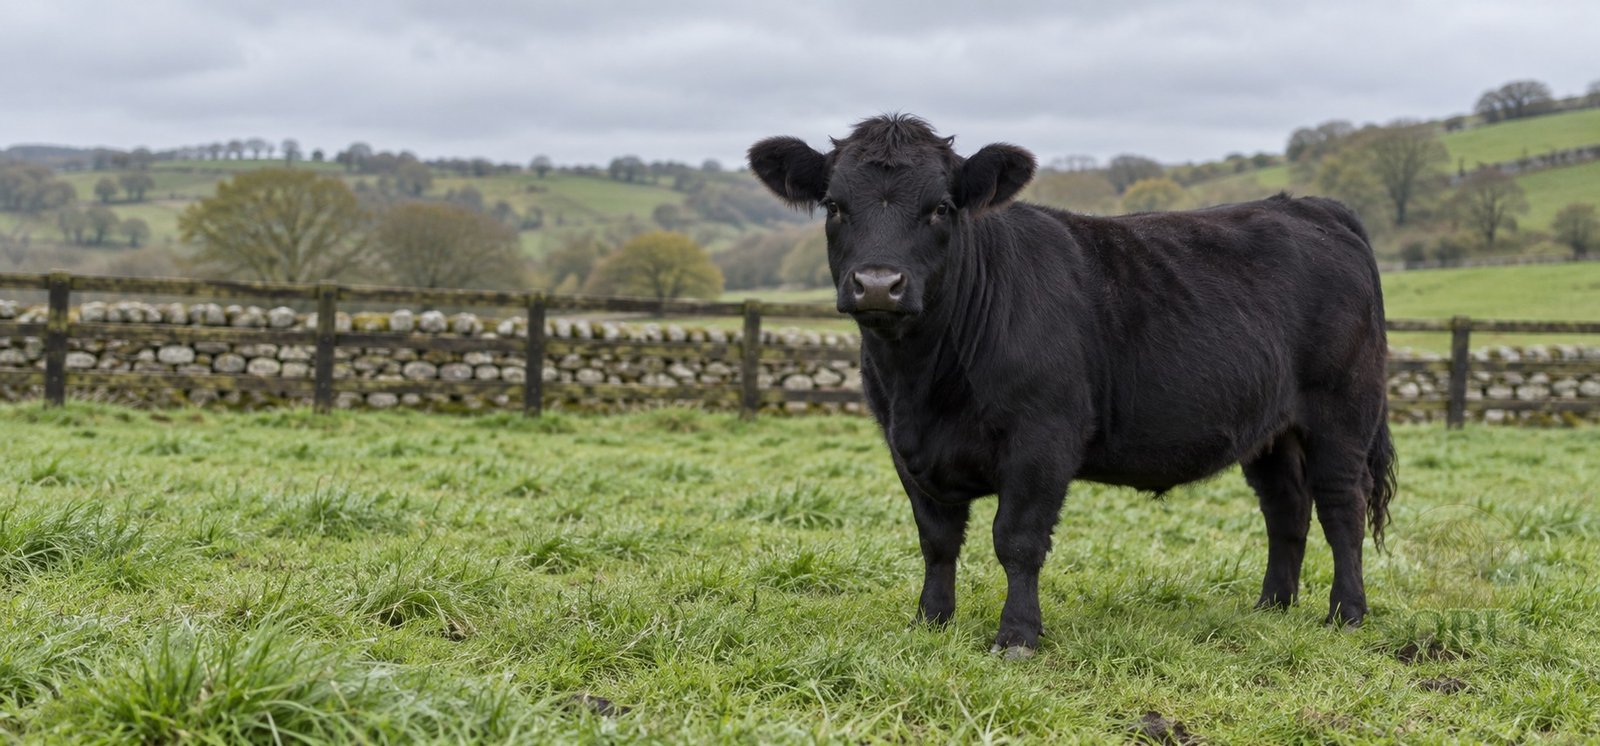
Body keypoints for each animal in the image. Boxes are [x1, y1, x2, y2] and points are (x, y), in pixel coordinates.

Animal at [748, 114, 1397, 657]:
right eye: (834, 205)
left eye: (941, 207)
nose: (879, 284)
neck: (921, 382)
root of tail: (1311, 207)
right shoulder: (905, 445)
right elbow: (936, 539)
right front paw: (931, 622)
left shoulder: (1042, 438)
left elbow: (1016, 540)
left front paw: (1017, 636)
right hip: (1270, 429)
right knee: (1286, 507)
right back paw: (1271, 607)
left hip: (1342, 413)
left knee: (1341, 505)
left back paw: (1346, 615)